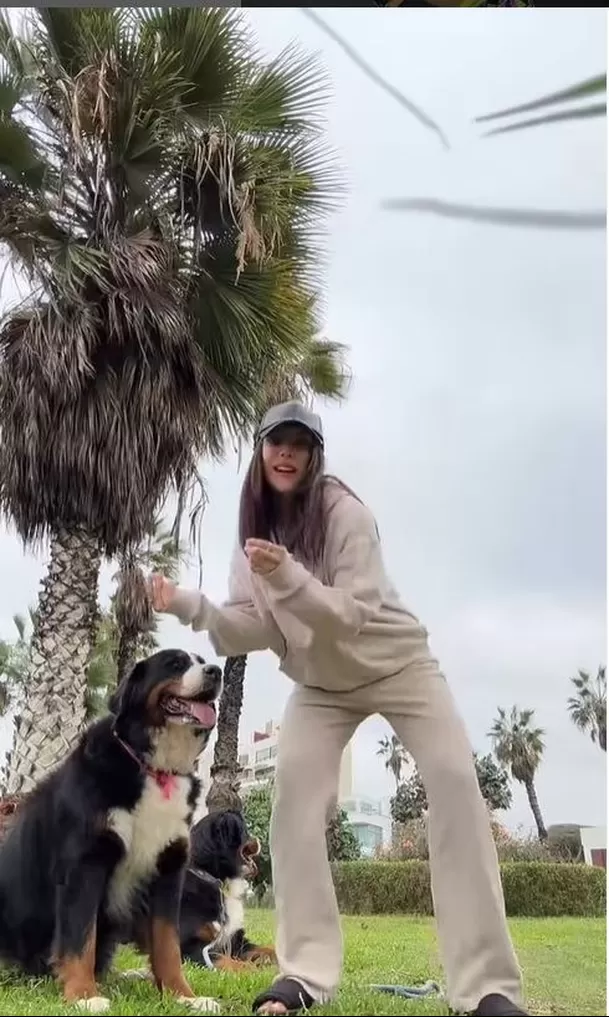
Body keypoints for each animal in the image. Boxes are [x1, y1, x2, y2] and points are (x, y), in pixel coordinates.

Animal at [0, 646, 221, 1012]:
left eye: (203, 662)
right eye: (175, 664)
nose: (216, 672)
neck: (154, 768)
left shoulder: (168, 870)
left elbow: (168, 944)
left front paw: (183, 996)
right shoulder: (85, 863)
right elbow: (79, 939)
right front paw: (84, 995)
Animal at [179, 809, 278, 968]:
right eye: (245, 830)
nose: (260, 840)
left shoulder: (235, 940)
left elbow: (266, 949)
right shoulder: (189, 947)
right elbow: (229, 961)